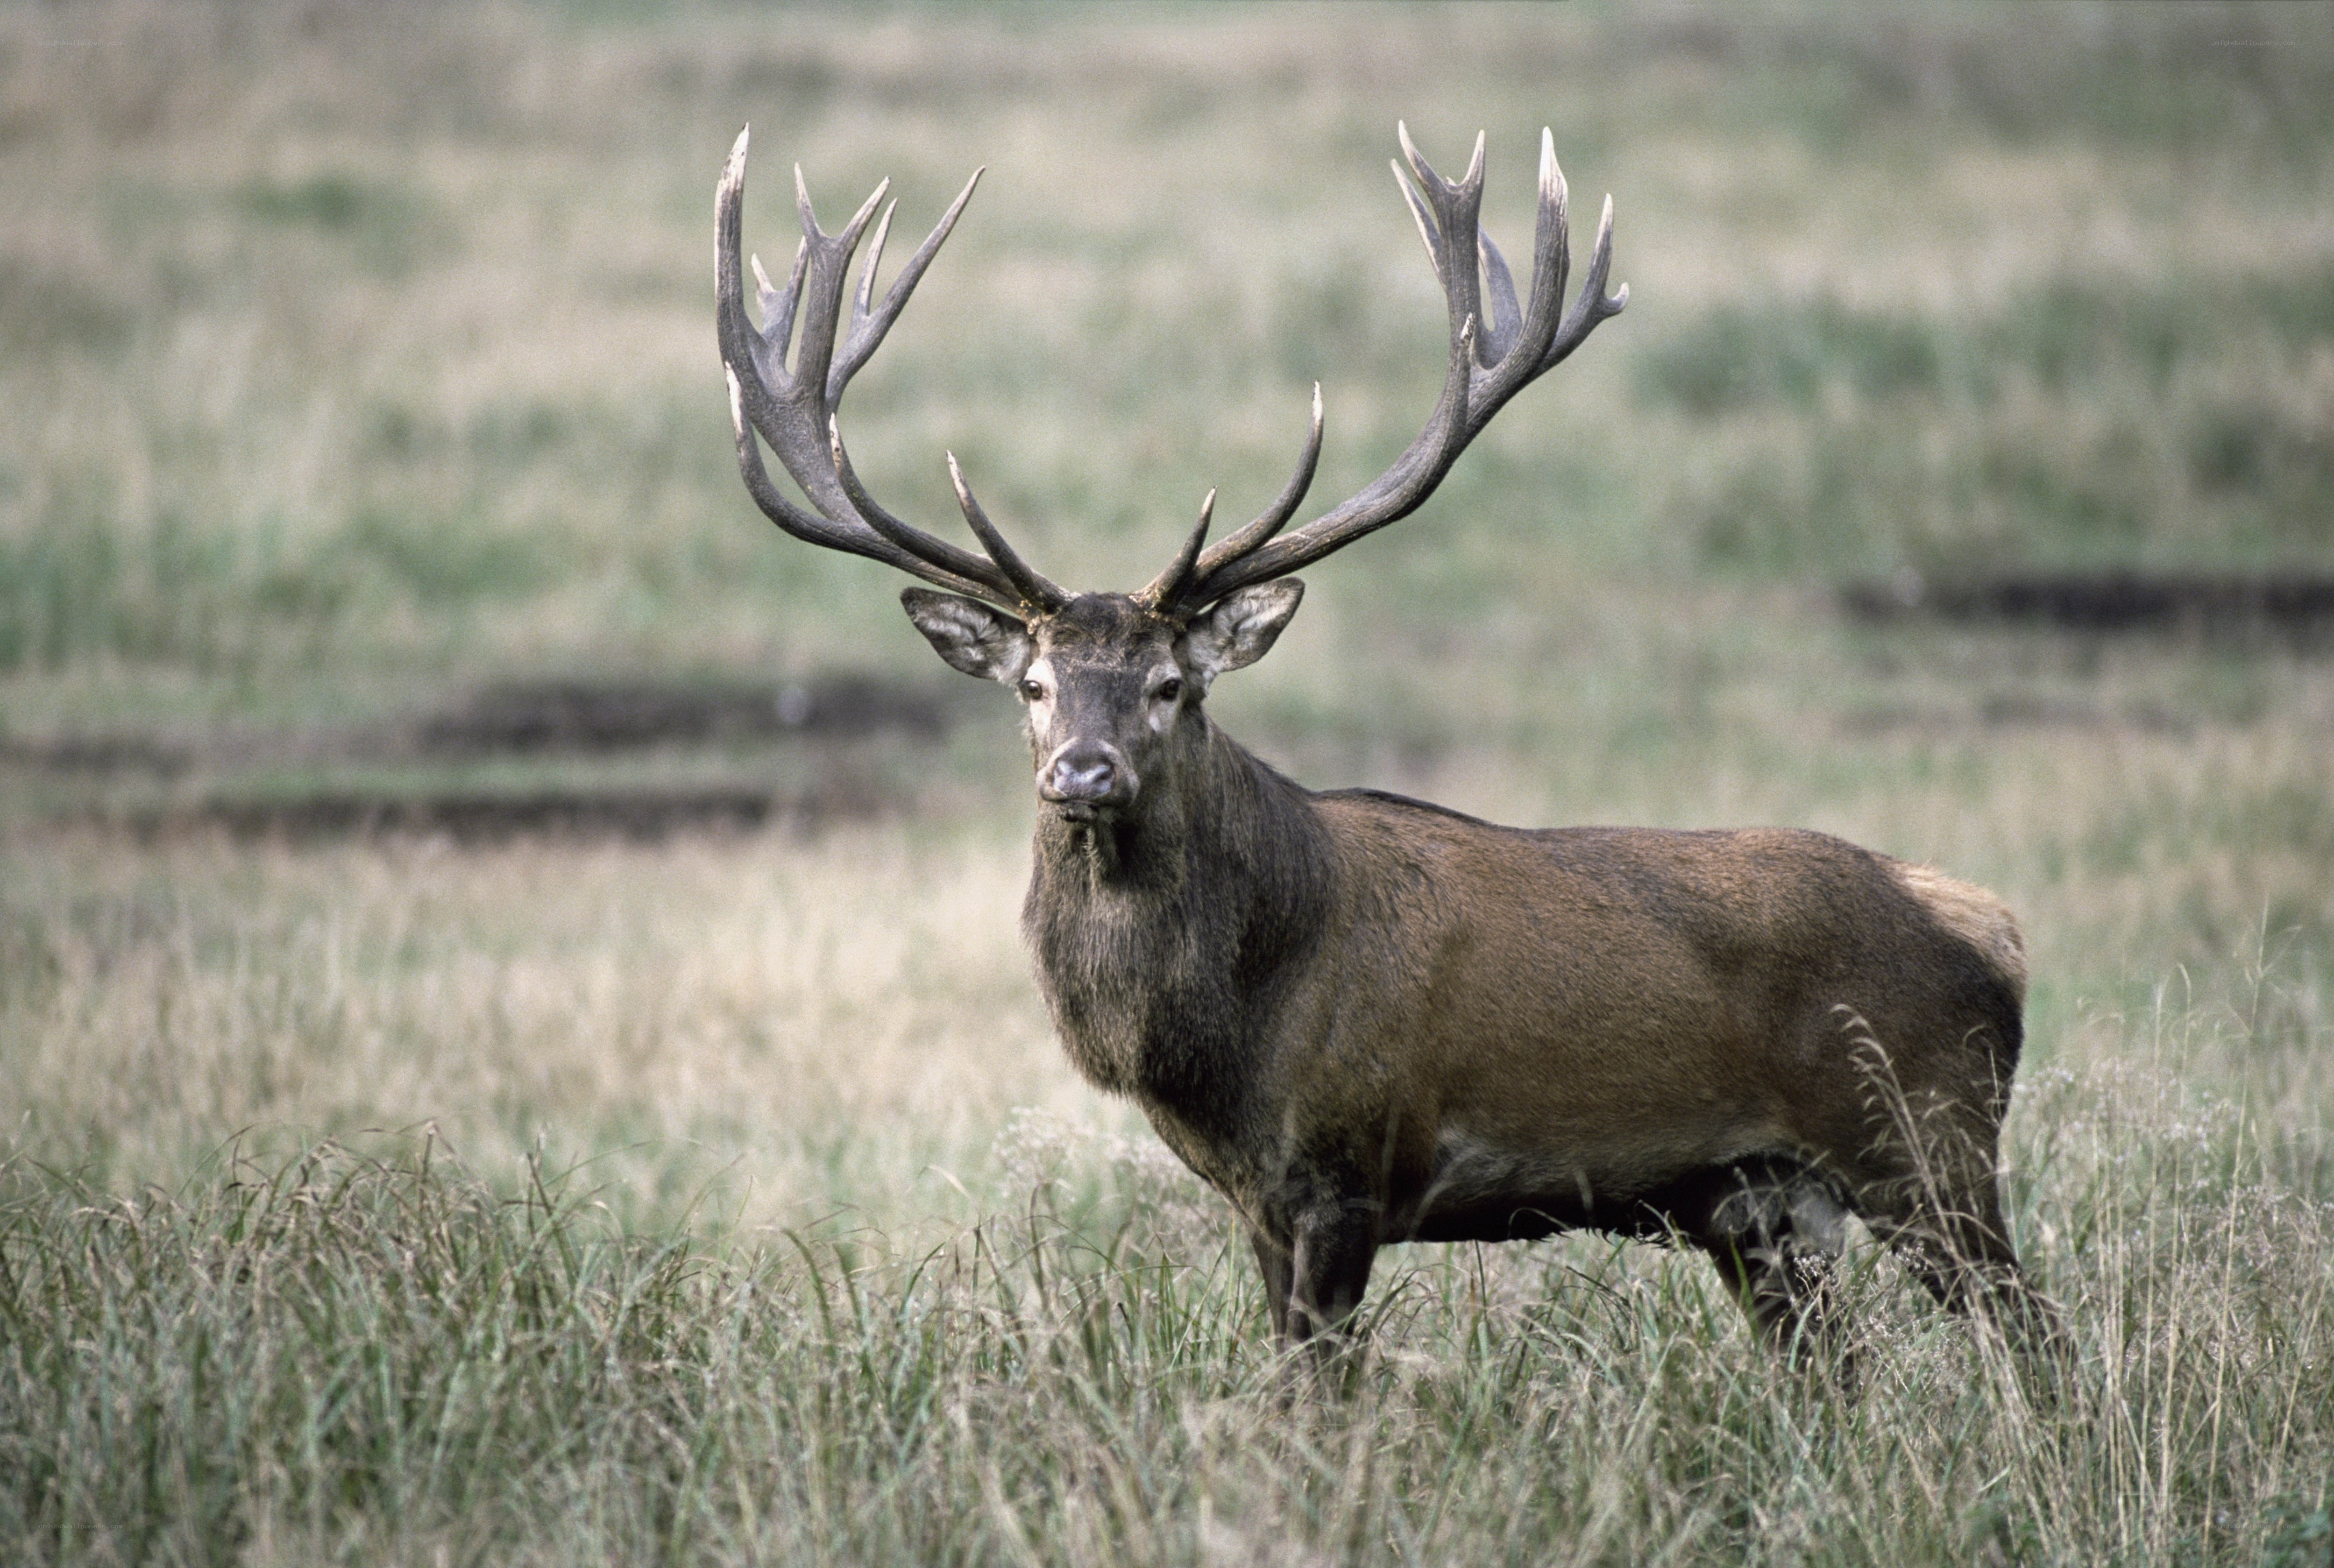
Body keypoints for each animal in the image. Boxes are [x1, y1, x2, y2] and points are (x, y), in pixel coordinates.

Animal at [714, 122, 2063, 1369]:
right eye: (1034, 684)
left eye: (1169, 685)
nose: (1080, 773)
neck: (1224, 1033)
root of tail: (1987, 923)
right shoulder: (1257, 1197)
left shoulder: (1347, 1163)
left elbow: (1318, 1396)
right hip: (1757, 1202)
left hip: (1923, 1139)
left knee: (2034, 1340)